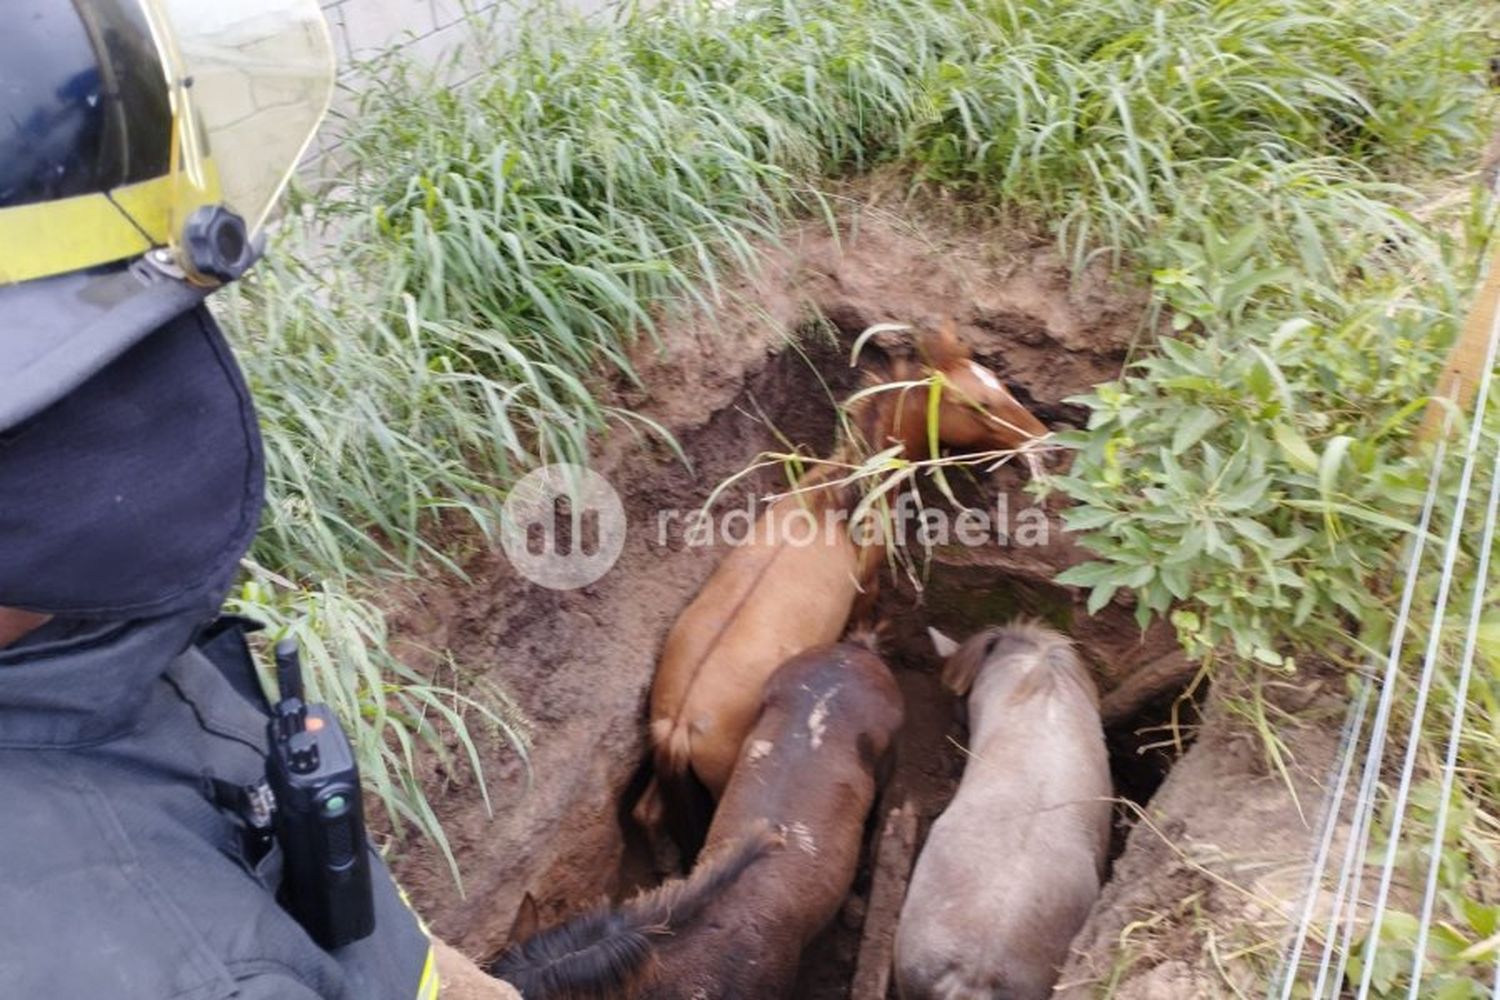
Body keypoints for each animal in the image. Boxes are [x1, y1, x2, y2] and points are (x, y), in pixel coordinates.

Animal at [639, 325, 1050, 857]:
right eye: (978, 403)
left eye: (997, 381)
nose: (1042, 436)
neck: (840, 497)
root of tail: (682, 721)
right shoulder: (867, 586)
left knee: (647, 813)